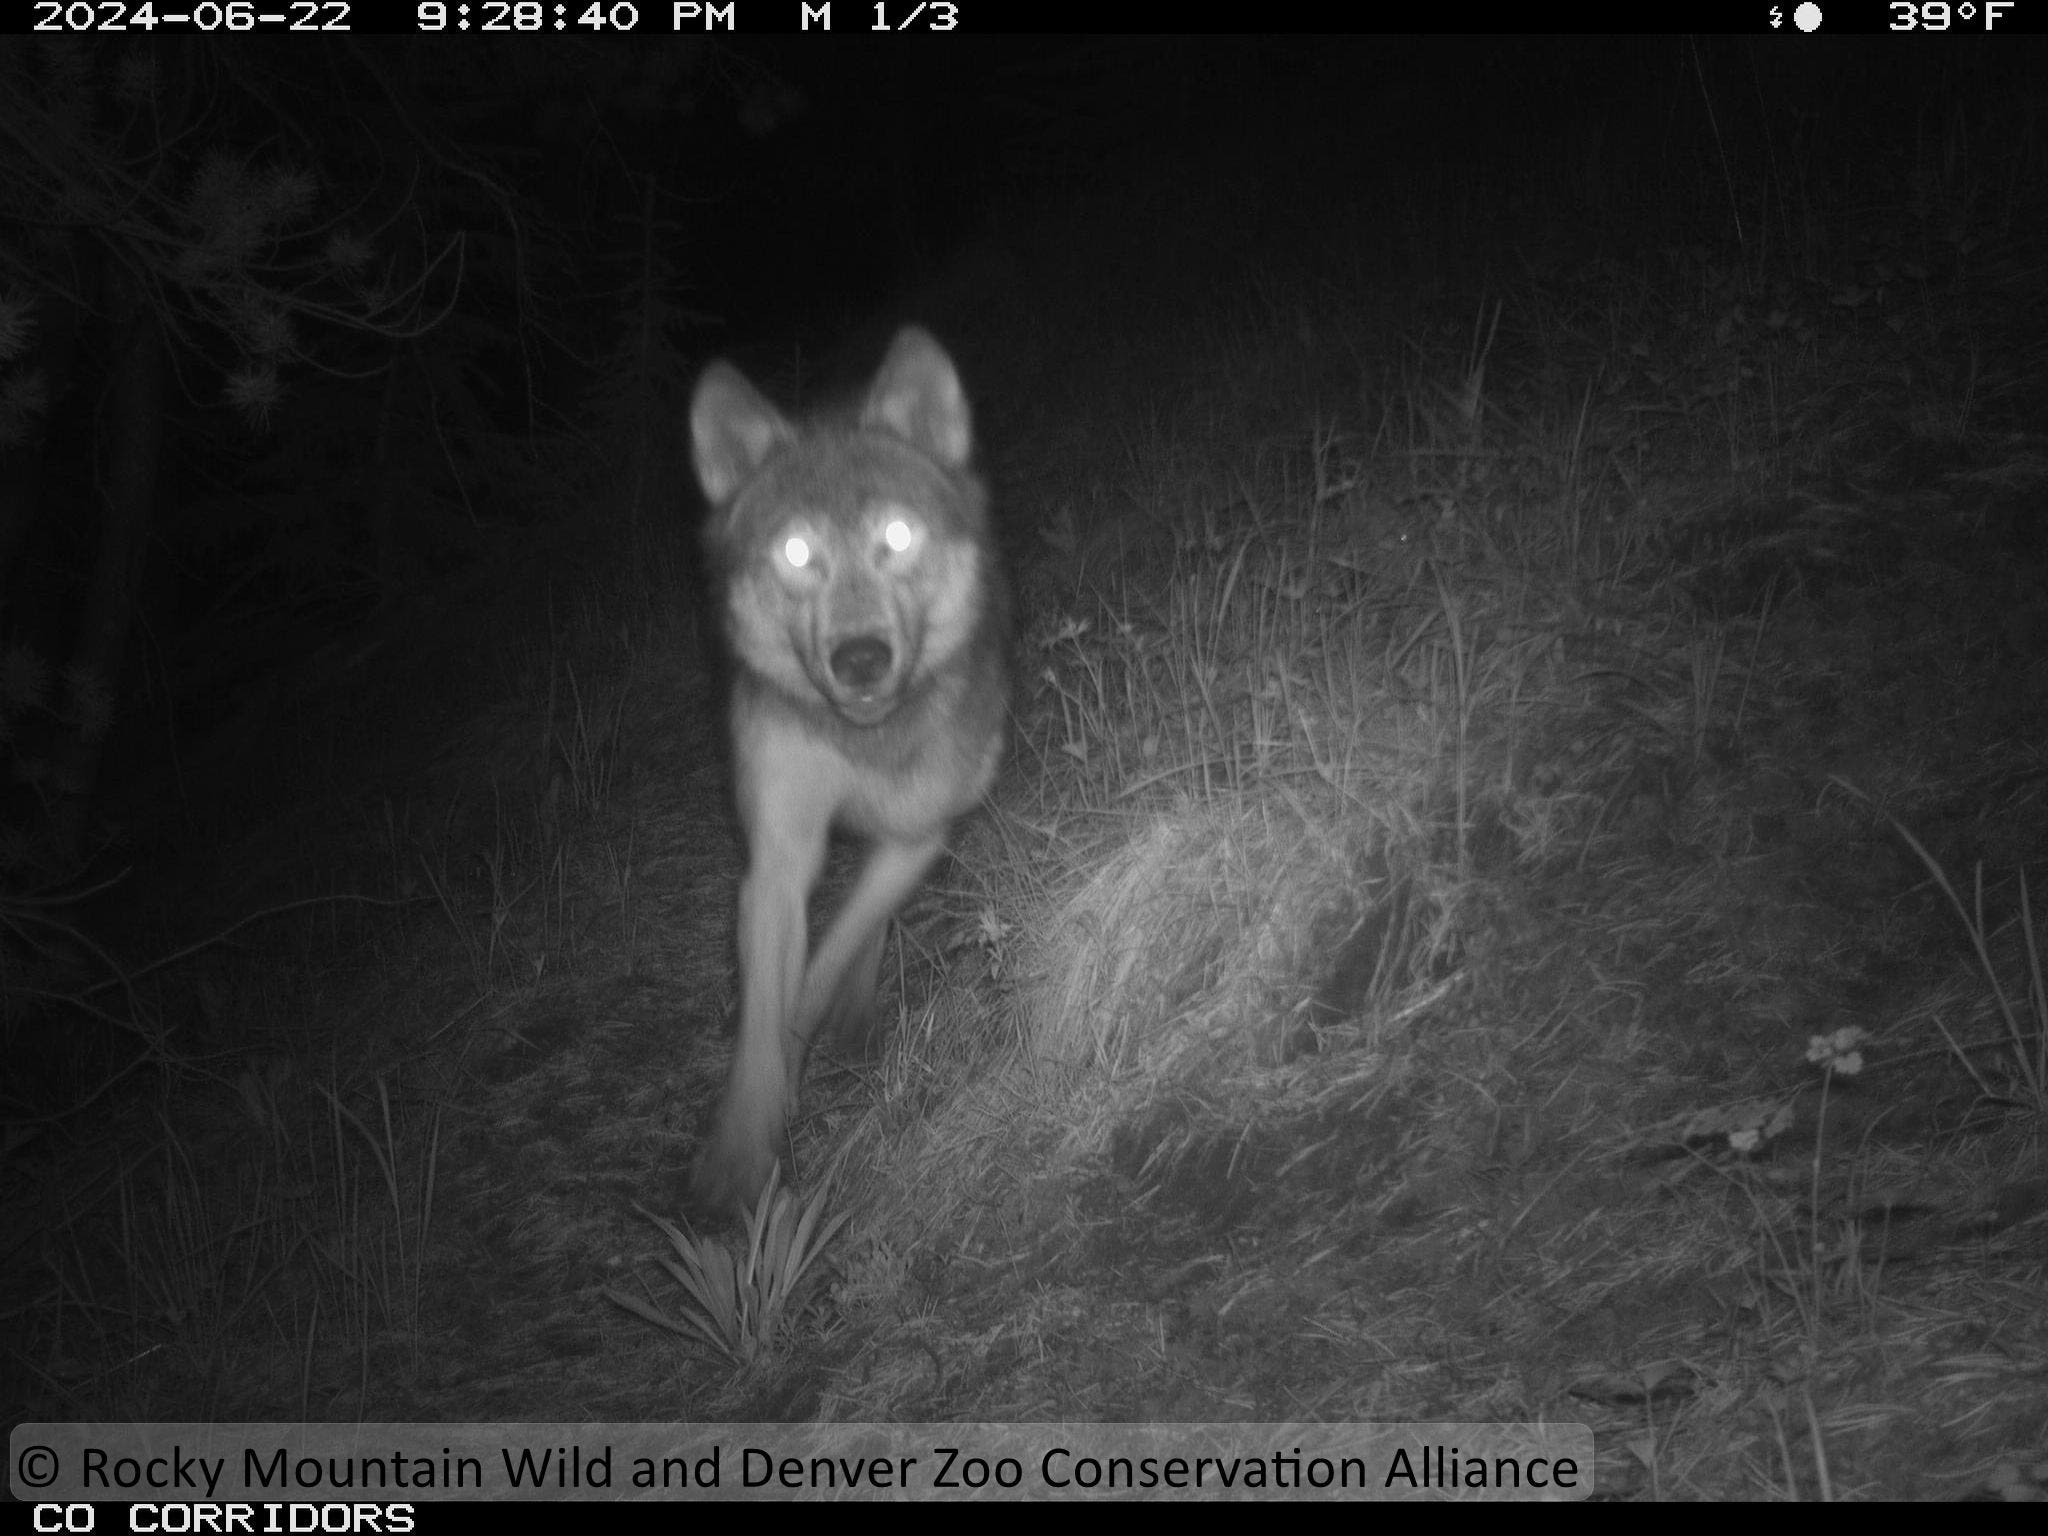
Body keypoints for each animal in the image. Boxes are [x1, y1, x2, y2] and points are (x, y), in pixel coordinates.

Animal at [688, 331, 1007, 1220]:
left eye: (896, 535)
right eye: (798, 552)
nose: (860, 658)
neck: (865, 744)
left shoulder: (921, 832)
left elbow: (830, 953)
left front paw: (815, 1023)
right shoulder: (776, 859)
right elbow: (765, 1014)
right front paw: (741, 1153)